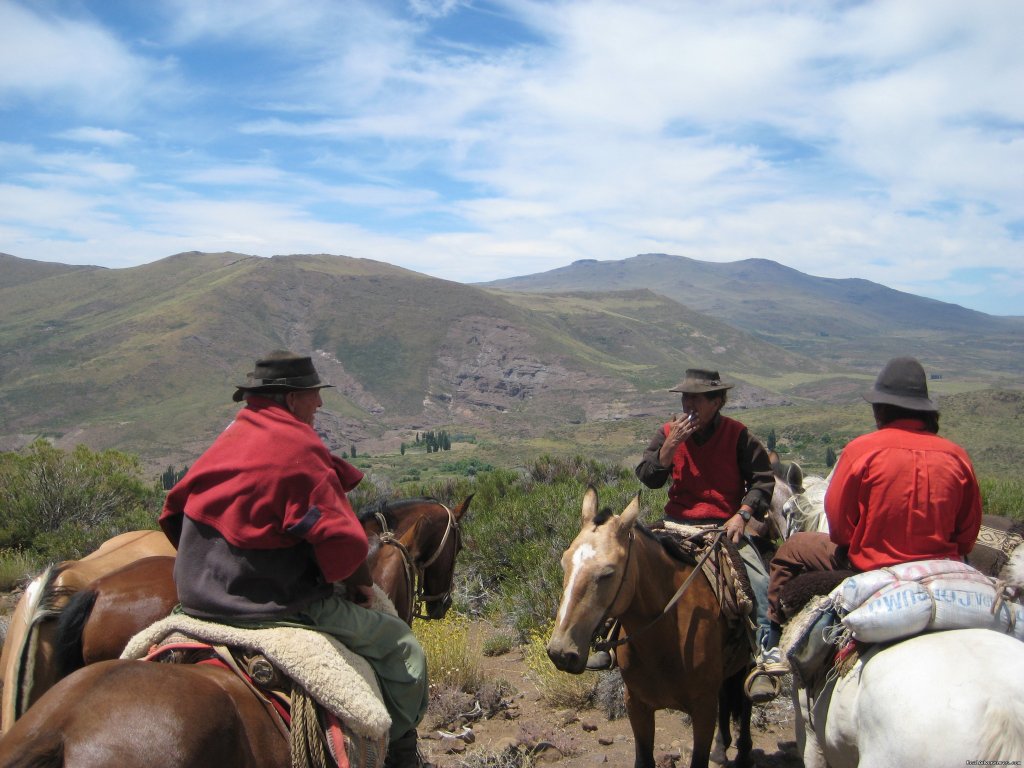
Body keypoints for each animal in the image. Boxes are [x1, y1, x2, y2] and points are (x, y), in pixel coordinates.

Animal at [548, 489, 757, 768]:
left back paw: (743, 752)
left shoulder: (703, 709)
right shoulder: (637, 705)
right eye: (564, 563)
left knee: (746, 701)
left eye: (608, 573)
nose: (560, 652)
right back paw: (722, 747)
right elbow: (644, 759)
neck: (666, 638)